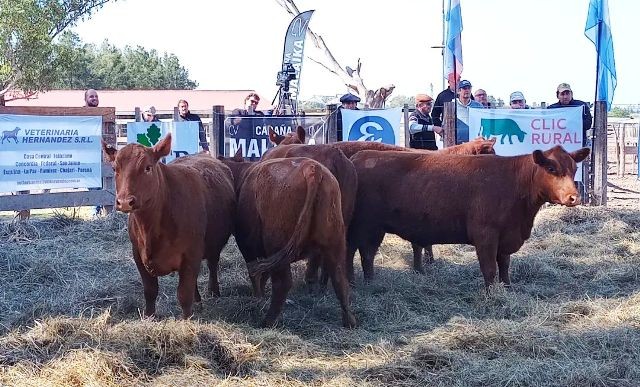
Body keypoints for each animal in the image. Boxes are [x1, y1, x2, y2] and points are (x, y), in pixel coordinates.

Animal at [102, 135, 235, 320]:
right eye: (115, 168)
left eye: (148, 167)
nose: (125, 202)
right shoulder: (137, 254)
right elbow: (150, 290)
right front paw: (149, 317)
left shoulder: (192, 254)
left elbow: (184, 293)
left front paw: (187, 319)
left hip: (213, 245)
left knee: (212, 264)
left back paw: (213, 291)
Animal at [222, 156, 358, 328]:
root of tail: (311, 168)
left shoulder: (248, 244)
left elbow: (256, 274)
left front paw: (258, 297)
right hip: (336, 242)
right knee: (339, 278)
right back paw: (349, 320)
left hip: (275, 243)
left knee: (282, 283)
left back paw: (267, 321)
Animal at [350, 147, 592, 290]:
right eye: (551, 168)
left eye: (574, 168)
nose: (574, 197)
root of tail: (360, 156)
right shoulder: (486, 235)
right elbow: (489, 268)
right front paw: (491, 294)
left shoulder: (506, 236)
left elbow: (504, 265)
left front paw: (508, 288)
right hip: (367, 226)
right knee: (362, 254)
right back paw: (365, 283)